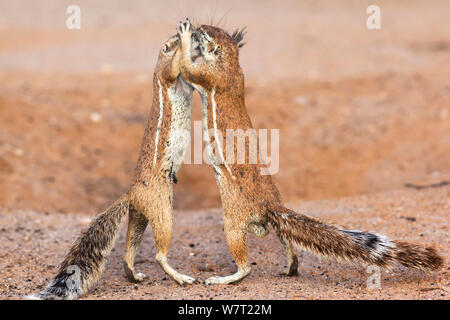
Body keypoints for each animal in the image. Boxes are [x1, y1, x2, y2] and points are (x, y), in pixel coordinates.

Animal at [30, 35, 200, 300]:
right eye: (172, 41)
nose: (195, 36)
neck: (156, 69)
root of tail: (131, 193)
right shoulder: (168, 75)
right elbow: (175, 68)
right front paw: (184, 39)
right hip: (161, 208)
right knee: (159, 253)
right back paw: (180, 277)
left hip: (139, 214)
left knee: (130, 249)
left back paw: (134, 275)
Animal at [176, 18, 442, 284]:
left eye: (207, 34)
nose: (199, 27)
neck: (231, 63)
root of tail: (271, 204)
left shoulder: (207, 74)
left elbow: (189, 70)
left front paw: (185, 36)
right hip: (270, 227)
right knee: (288, 241)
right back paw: (290, 268)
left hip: (233, 221)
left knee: (245, 264)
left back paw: (225, 278)